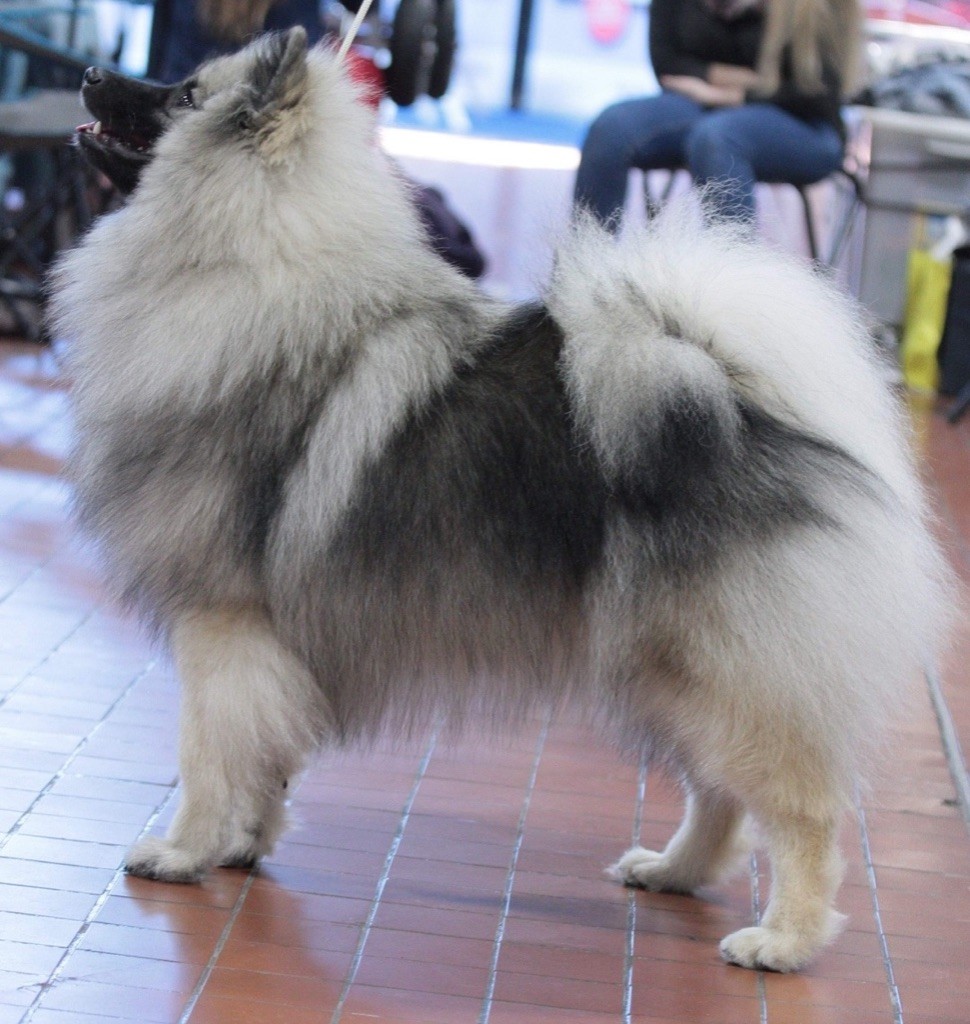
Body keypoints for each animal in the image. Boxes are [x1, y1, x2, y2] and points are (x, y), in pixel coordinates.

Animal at [49, 22, 950, 966]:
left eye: (184, 94)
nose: (92, 70)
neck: (246, 266)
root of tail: (750, 402)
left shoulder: (224, 626)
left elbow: (207, 756)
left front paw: (183, 850)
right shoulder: (275, 646)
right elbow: (265, 759)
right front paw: (242, 843)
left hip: (721, 672)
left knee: (802, 810)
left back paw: (782, 940)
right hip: (666, 673)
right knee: (721, 796)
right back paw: (672, 870)